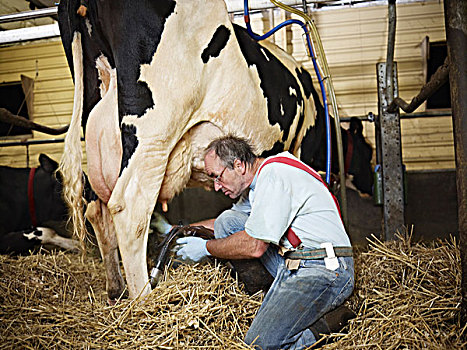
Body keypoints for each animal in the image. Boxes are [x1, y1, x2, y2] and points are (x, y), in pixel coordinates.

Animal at [57, 0, 372, 300]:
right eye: (367, 152)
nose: (369, 186)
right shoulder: (300, 146)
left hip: (96, 129)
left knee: (96, 208)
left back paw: (116, 289)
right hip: (155, 131)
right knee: (129, 207)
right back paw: (144, 299)